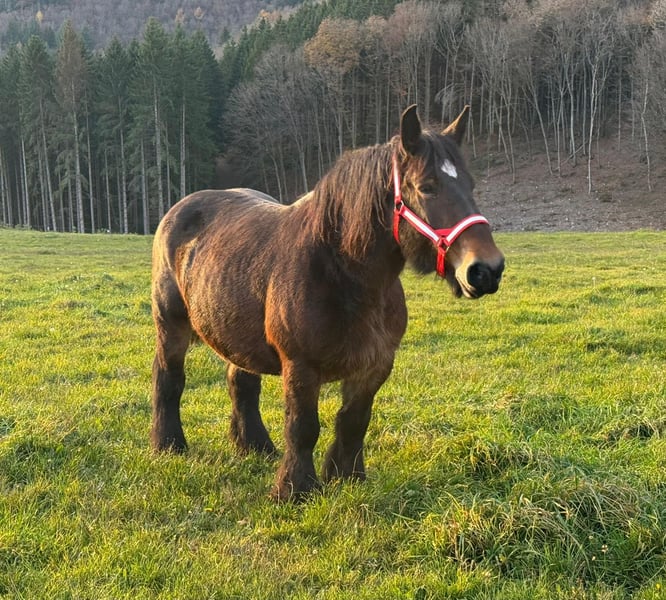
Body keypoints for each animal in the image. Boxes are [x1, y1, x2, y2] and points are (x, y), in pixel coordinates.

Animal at [150, 105, 505, 501]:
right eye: (427, 186)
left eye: (470, 185)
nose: (486, 270)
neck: (345, 276)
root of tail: (179, 208)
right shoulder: (301, 366)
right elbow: (303, 426)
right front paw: (294, 489)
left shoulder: (375, 364)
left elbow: (353, 422)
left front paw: (346, 477)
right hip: (171, 326)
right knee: (169, 378)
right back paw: (169, 444)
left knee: (241, 383)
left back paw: (255, 446)